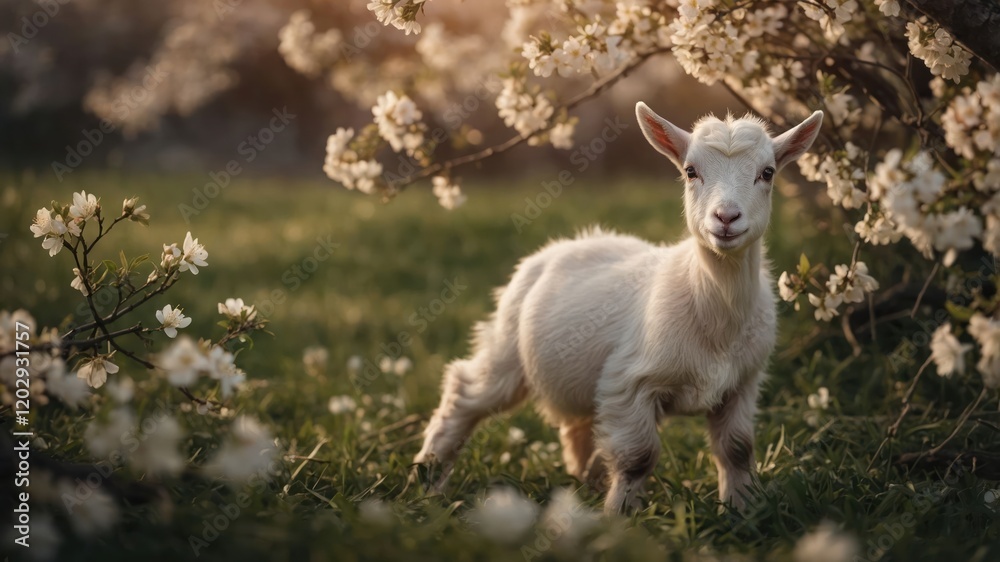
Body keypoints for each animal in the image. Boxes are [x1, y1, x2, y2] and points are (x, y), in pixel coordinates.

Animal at [414, 103, 824, 514]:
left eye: (767, 172)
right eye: (690, 171)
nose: (726, 218)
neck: (712, 306)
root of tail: (561, 246)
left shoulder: (742, 384)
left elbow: (736, 450)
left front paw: (741, 510)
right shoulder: (629, 383)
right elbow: (637, 458)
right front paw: (619, 517)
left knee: (578, 427)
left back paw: (585, 485)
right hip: (506, 349)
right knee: (465, 392)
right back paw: (428, 479)